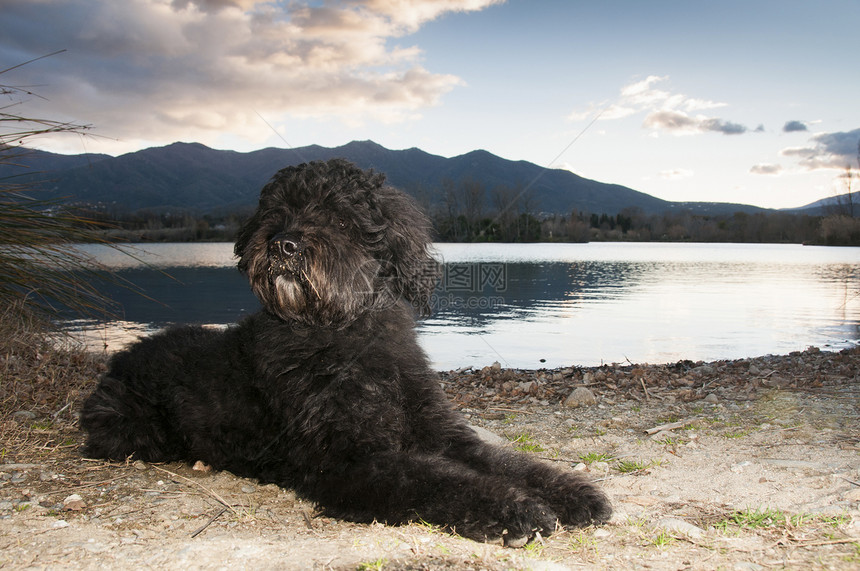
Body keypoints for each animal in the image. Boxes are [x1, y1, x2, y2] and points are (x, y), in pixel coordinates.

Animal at [82, 159, 612, 548]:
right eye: (276, 213)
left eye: (340, 218)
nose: (283, 244)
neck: (348, 334)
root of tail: (120, 357)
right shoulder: (347, 461)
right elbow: (438, 481)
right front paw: (515, 509)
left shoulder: (441, 433)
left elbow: (508, 461)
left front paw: (573, 492)